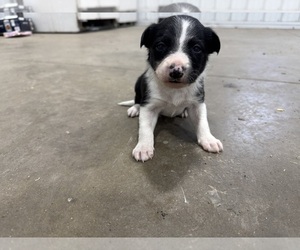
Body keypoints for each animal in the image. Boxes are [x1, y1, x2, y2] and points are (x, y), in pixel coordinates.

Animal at [119, 15, 223, 162]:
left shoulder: (198, 103)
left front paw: (209, 139)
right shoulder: (149, 105)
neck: (174, 89)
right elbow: (145, 128)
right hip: (138, 83)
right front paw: (143, 147)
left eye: (196, 48)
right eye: (160, 46)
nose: (176, 71)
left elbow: (202, 122)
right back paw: (135, 108)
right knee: (137, 99)